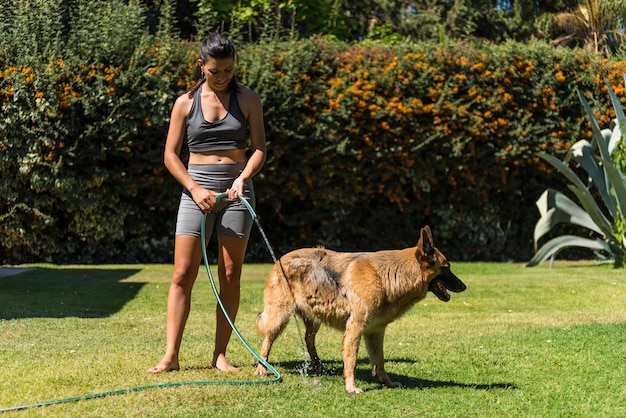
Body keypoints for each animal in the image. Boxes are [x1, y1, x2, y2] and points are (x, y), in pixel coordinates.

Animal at [254, 225, 464, 392]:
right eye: (447, 267)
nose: (464, 286)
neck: (388, 275)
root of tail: (279, 260)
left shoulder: (375, 331)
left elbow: (380, 361)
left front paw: (387, 383)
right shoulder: (355, 329)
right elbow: (352, 360)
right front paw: (351, 388)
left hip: (314, 318)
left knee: (308, 339)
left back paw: (318, 366)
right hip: (279, 318)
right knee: (267, 342)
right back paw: (262, 369)